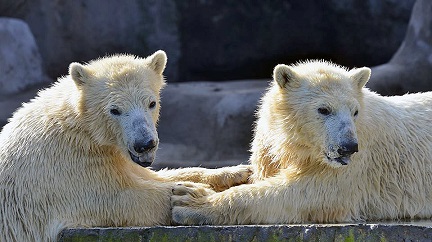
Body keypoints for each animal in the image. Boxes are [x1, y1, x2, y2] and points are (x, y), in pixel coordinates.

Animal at [0, 50, 248, 241]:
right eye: (115, 110)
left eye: (152, 103)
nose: (145, 144)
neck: (80, 128)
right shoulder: (66, 166)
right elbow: (126, 197)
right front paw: (194, 195)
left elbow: (156, 174)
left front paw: (237, 172)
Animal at [170, 60, 432, 225]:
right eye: (323, 109)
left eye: (355, 111)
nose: (348, 147)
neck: (300, 147)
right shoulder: (269, 147)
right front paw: (231, 176)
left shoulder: (357, 165)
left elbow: (304, 192)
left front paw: (189, 201)